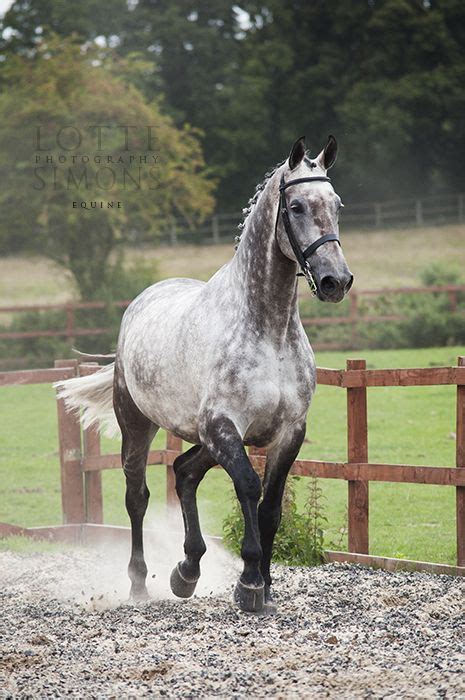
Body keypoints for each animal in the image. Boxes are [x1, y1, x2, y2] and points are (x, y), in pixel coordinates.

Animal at [57, 135, 352, 612]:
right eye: (295, 207)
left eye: (337, 204)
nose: (335, 281)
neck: (267, 330)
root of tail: (143, 300)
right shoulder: (223, 426)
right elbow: (249, 488)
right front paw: (249, 583)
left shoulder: (287, 432)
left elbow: (271, 508)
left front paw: (266, 588)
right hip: (140, 426)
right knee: (138, 496)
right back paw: (140, 584)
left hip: (206, 439)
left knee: (184, 471)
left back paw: (187, 571)